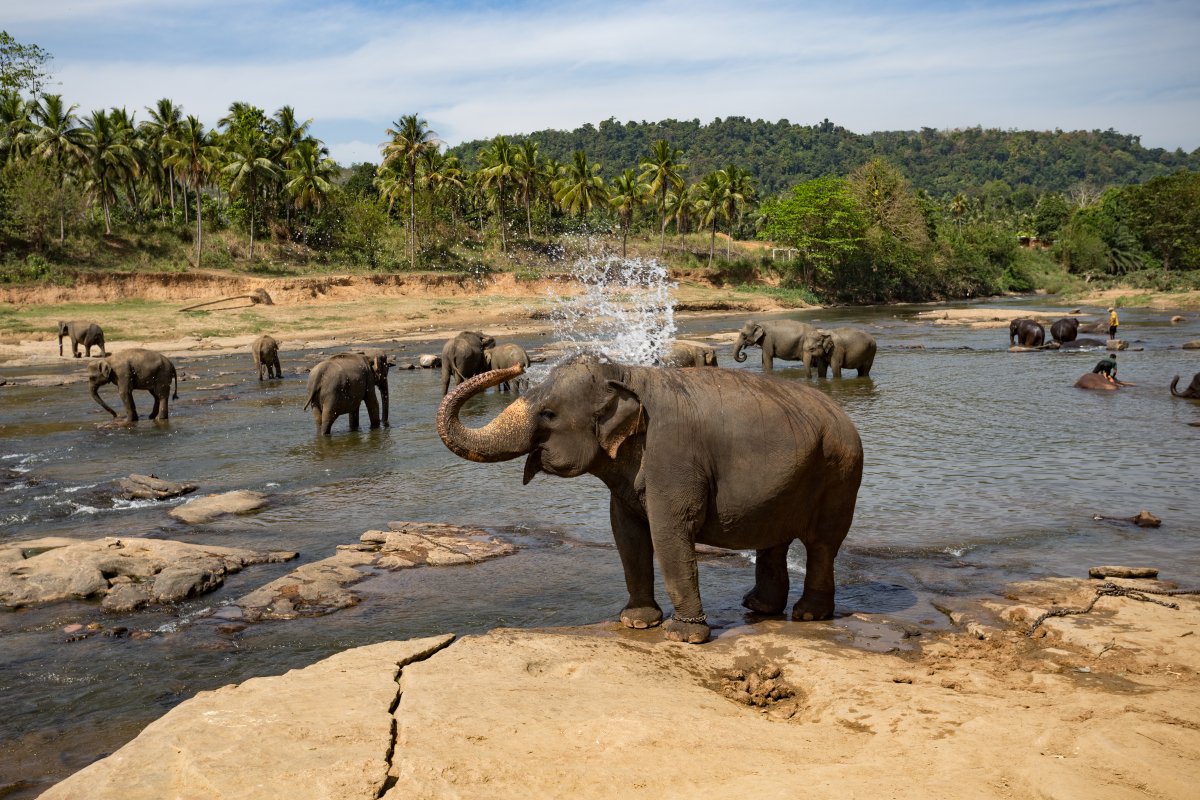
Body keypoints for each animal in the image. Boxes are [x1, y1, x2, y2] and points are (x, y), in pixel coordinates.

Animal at [439, 357, 864, 642]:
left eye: (548, 413)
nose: (514, 365)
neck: (626, 374)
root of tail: (842, 414)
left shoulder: (673, 456)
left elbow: (669, 531)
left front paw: (683, 636)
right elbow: (626, 534)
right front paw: (637, 622)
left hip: (840, 473)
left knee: (822, 543)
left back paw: (808, 615)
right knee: (774, 538)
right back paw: (759, 607)